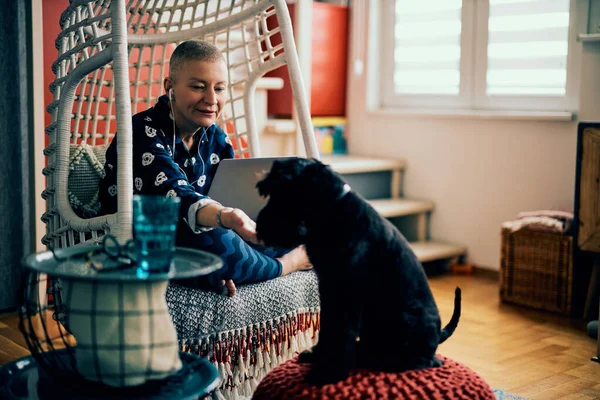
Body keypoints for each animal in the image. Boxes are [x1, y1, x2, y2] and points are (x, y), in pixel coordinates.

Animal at [255, 158, 462, 386]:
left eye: (281, 188)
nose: (259, 227)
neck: (334, 213)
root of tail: (438, 333)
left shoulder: (348, 294)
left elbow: (342, 332)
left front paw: (329, 373)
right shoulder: (329, 289)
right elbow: (328, 327)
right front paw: (319, 356)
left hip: (406, 321)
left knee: (429, 360)